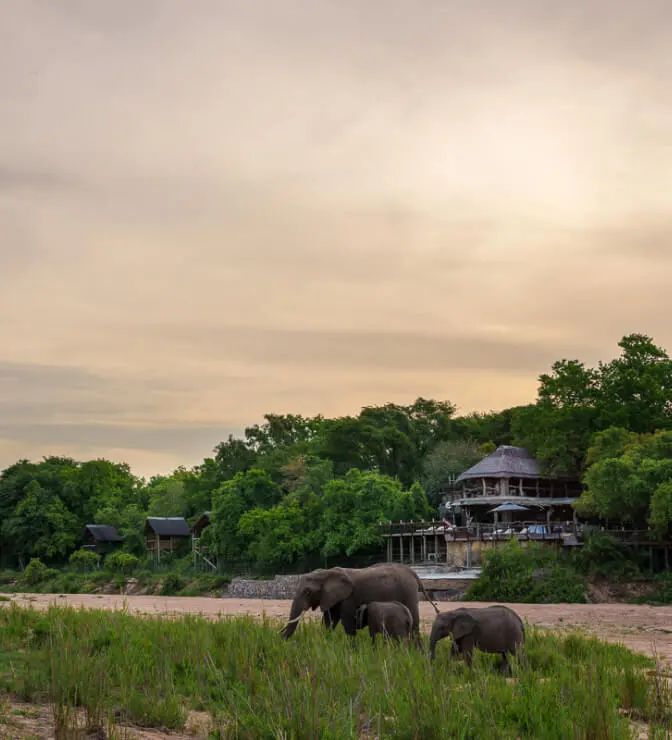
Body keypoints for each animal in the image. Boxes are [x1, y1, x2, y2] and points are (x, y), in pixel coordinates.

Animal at [280, 563, 439, 640]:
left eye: (308, 592)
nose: (280, 638)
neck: (326, 572)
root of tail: (414, 574)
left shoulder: (349, 598)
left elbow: (347, 623)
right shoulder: (332, 597)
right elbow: (328, 621)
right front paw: (326, 643)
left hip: (408, 592)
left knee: (414, 624)